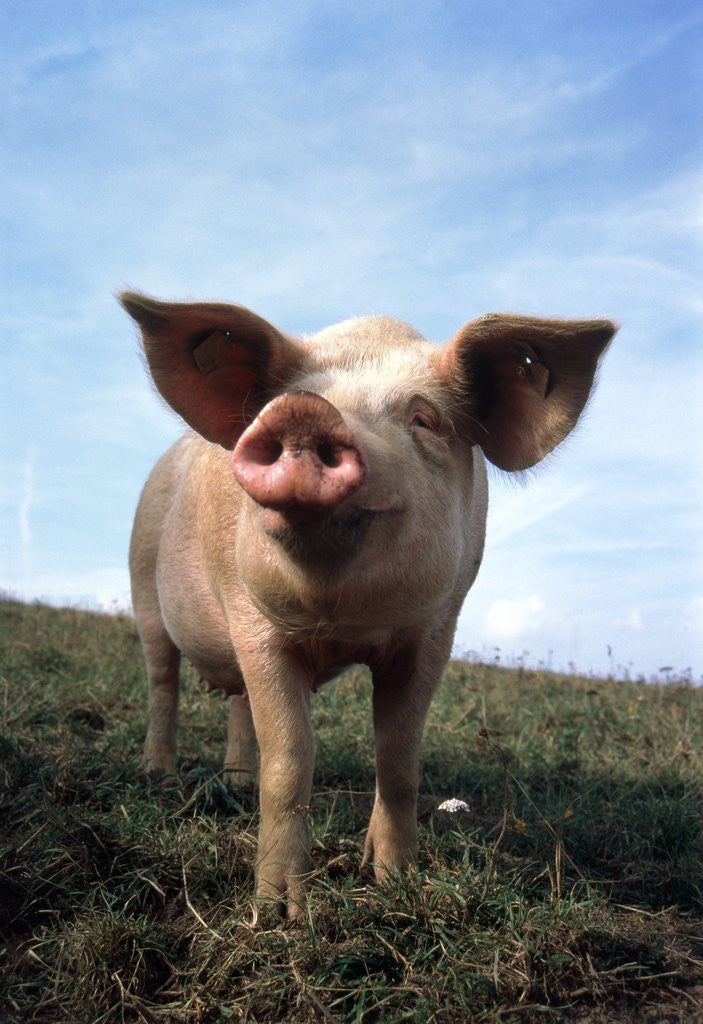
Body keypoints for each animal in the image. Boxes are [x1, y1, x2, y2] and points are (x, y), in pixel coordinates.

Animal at [121, 291, 615, 919]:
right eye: (289, 401)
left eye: (423, 419)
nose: (303, 410)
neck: (346, 623)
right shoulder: (255, 621)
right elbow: (289, 761)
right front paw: (278, 914)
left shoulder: (435, 631)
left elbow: (399, 757)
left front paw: (395, 882)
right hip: (142, 584)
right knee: (163, 681)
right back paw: (158, 774)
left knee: (236, 706)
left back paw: (234, 782)